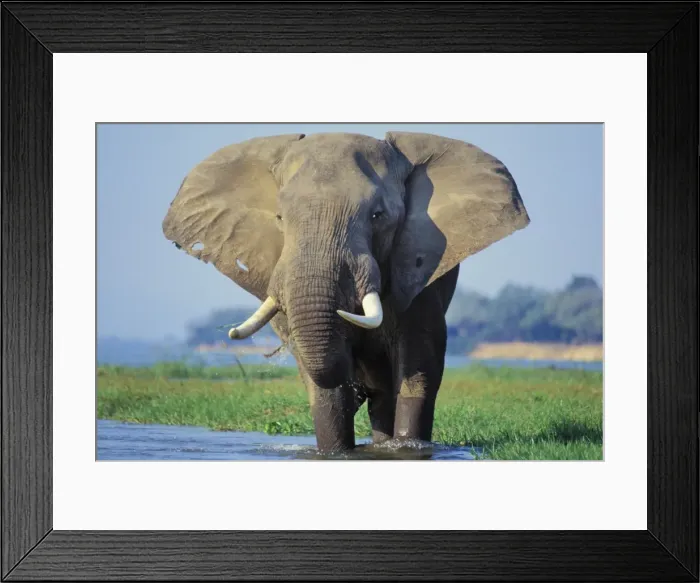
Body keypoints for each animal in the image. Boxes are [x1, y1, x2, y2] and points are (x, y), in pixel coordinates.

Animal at [162, 132, 529, 453]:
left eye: (378, 215)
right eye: (280, 218)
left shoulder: (417, 268)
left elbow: (418, 365)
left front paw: (405, 446)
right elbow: (323, 384)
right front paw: (336, 451)